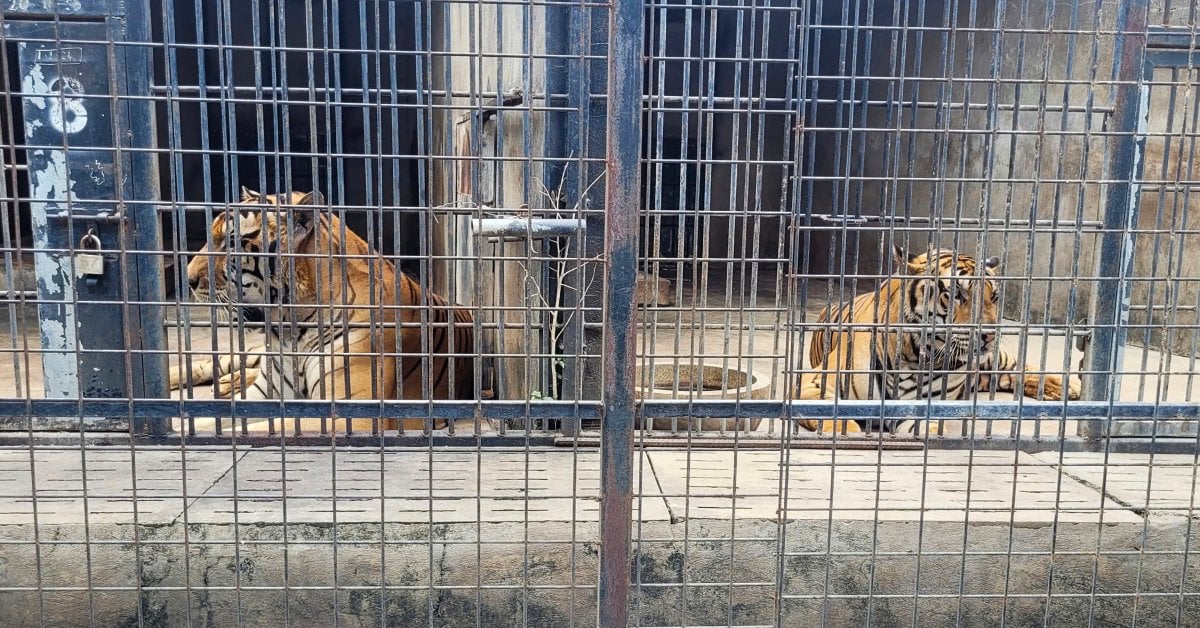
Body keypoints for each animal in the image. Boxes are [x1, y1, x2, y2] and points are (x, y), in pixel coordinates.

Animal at [171, 187, 475, 432]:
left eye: (232, 242)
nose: (188, 279)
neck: (290, 330)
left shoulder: (350, 412)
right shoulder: (263, 396)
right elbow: (209, 422)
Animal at [792, 247, 1084, 437]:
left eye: (994, 297)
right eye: (957, 294)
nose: (990, 334)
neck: (915, 355)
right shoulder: (813, 384)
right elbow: (837, 418)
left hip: (995, 359)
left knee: (1021, 368)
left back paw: (1071, 387)